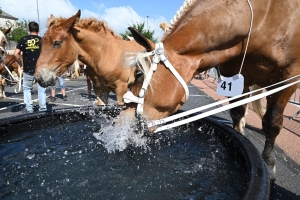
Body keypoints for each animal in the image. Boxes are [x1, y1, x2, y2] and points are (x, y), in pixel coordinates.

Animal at [118, 0, 300, 181]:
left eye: (139, 73)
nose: (119, 122)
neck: (260, 21)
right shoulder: (232, 75)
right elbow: (236, 112)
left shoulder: (289, 76)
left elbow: (272, 122)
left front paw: (269, 166)